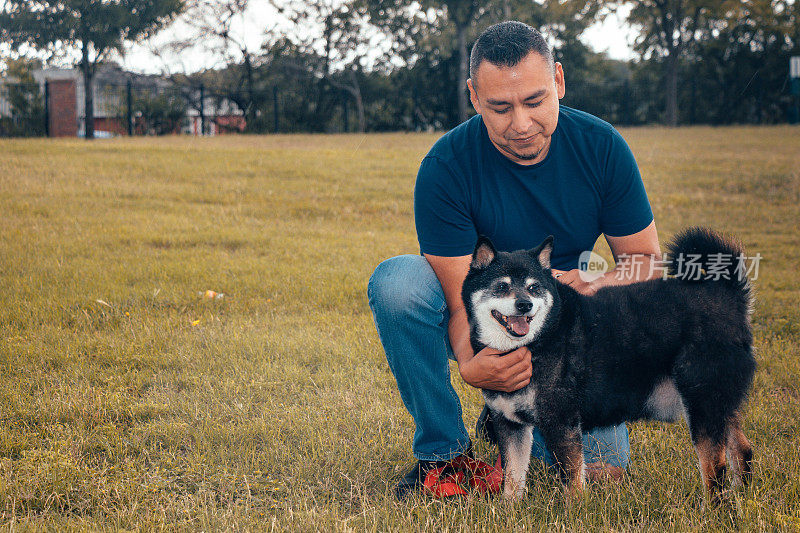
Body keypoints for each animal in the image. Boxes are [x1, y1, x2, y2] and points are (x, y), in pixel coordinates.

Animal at [462, 227, 756, 500]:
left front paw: (574, 513)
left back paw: (713, 508)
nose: (525, 304)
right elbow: (512, 479)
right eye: (502, 286)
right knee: (742, 449)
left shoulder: (561, 422)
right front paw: (509, 510)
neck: (539, 338)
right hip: (717, 403)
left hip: (703, 402)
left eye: (534, 287)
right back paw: (740, 494)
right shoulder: (510, 424)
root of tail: (729, 296)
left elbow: (572, 482)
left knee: (715, 468)